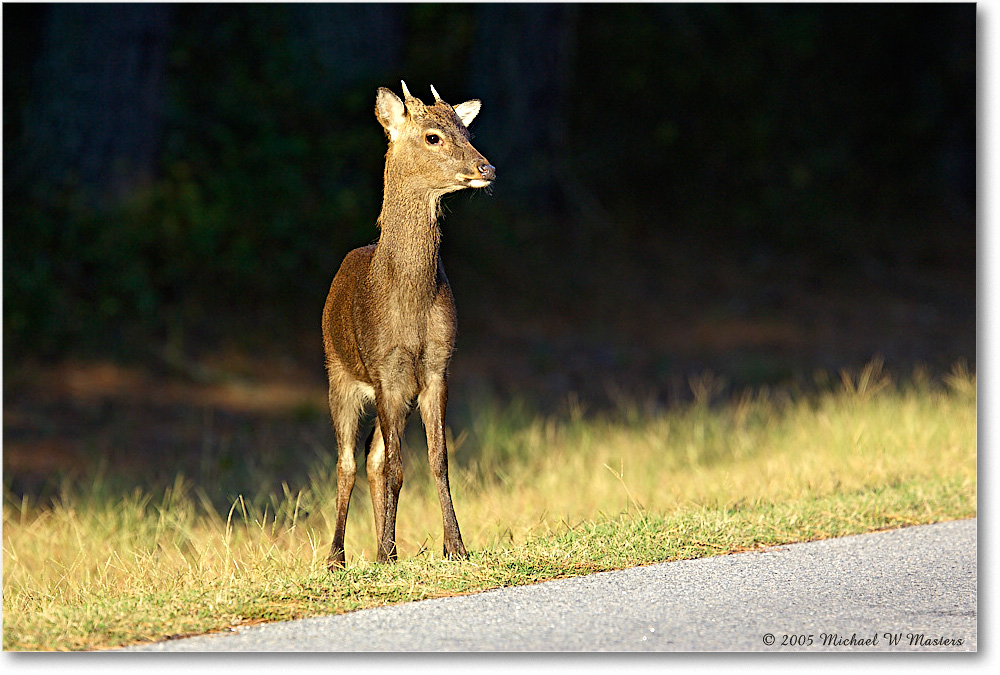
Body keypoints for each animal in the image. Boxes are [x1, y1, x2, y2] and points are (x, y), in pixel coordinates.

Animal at [322, 84, 494, 572]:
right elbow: (397, 467)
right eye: (433, 136)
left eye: (466, 131)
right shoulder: (385, 371)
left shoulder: (436, 368)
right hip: (339, 374)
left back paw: (390, 550)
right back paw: (338, 557)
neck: (410, 301)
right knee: (347, 462)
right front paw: (380, 552)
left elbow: (438, 460)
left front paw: (455, 546)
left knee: (372, 456)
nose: (487, 167)